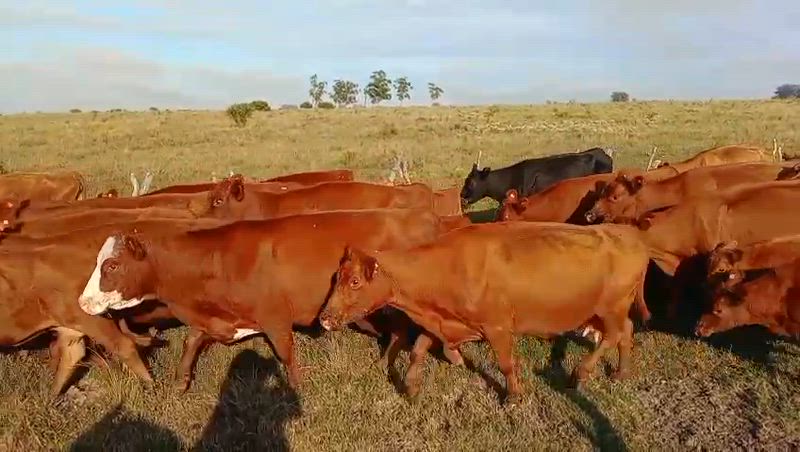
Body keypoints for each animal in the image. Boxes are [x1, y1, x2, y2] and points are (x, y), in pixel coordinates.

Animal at [80, 209, 468, 392]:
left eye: (112, 264)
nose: (83, 302)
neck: (218, 260)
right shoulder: (213, 321)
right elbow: (191, 342)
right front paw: (181, 381)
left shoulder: (276, 318)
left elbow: (286, 355)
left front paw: (297, 389)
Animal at [318, 221, 650, 404]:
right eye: (336, 277)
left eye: (355, 281)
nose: (324, 317)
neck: (448, 267)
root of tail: (630, 234)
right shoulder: (444, 323)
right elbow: (418, 349)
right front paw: (411, 386)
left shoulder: (498, 327)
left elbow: (505, 364)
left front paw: (513, 396)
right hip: (609, 311)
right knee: (626, 332)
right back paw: (622, 372)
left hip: (609, 308)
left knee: (613, 335)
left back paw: (580, 372)